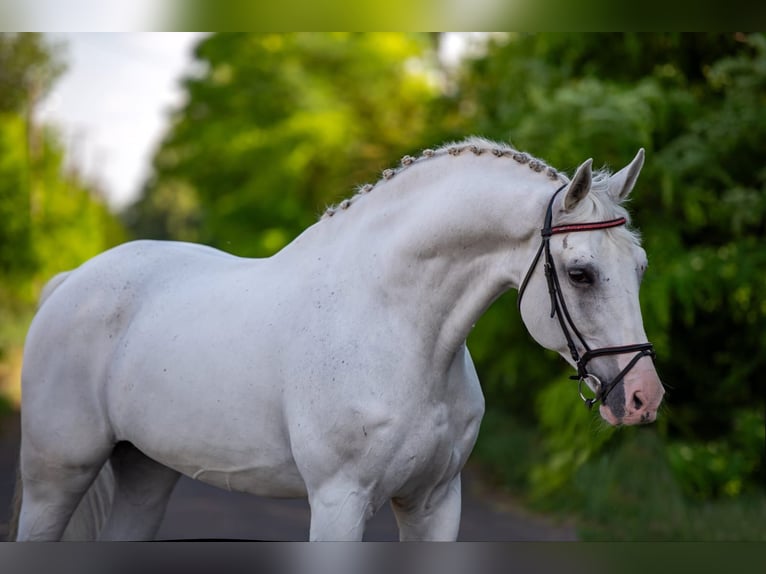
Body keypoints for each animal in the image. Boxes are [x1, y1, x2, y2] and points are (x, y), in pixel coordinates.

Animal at [9, 137, 664, 541]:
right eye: (580, 273)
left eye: (640, 267)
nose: (644, 397)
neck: (397, 326)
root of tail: (70, 282)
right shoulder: (337, 503)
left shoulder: (435, 504)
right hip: (55, 475)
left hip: (146, 471)